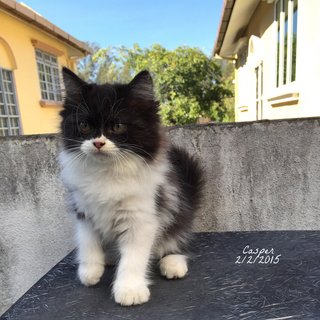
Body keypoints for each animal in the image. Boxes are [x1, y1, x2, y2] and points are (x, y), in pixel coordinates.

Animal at [58, 67, 204, 304]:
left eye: (117, 126)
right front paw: (89, 270)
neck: (107, 172)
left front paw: (130, 289)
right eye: (84, 126)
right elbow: (87, 240)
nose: (98, 143)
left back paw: (173, 262)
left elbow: (134, 258)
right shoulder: (83, 210)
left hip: (178, 209)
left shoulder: (141, 217)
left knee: (176, 237)